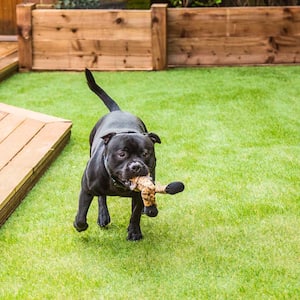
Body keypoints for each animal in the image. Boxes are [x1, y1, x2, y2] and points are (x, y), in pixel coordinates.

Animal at [74, 69, 162, 240]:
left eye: (145, 153)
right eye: (121, 154)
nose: (136, 166)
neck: (118, 185)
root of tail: (117, 111)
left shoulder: (139, 193)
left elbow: (135, 213)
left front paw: (134, 232)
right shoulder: (86, 187)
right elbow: (82, 212)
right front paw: (80, 225)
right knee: (101, 198)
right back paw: (103, 216)